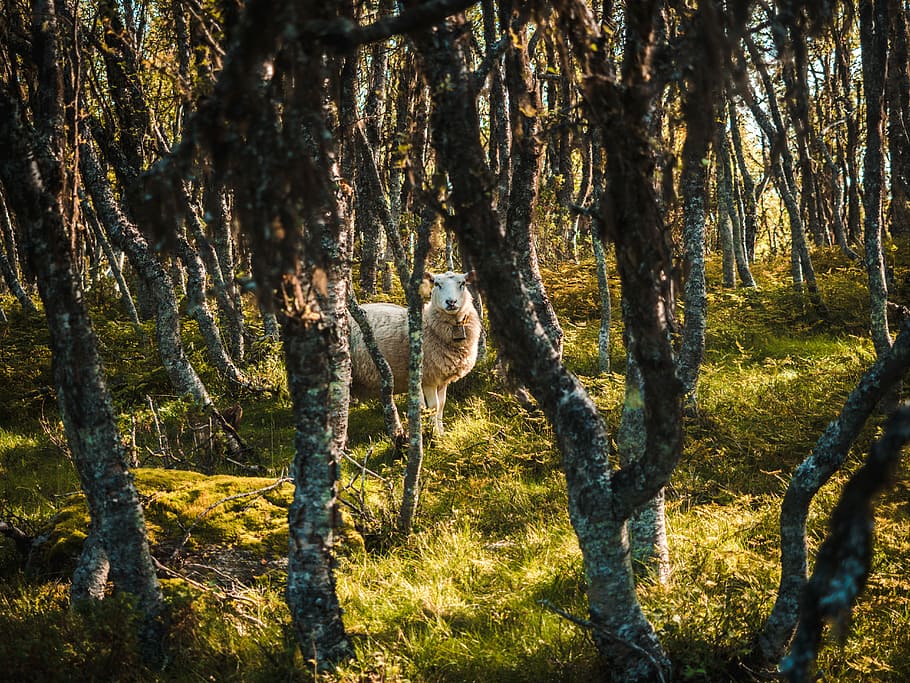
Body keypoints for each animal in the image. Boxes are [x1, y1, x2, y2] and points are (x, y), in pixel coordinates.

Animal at [350, 272, 484, 436]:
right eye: (437, 284)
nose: (451, 302)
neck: (430, 324)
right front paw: (435, 434)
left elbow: (442, 405)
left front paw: (442, 433)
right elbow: (433, 406)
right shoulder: (428, 377)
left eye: (462, 283)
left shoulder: (442, 378)